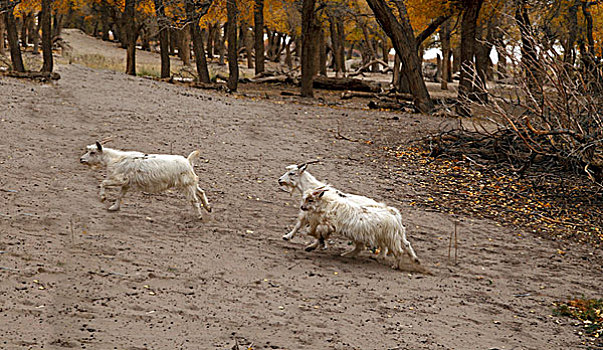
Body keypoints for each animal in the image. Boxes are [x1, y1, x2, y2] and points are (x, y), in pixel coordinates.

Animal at [79, 140, 212, 217]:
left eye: (92, 152)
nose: (81, 159)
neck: (114, 159)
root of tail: (188, 161)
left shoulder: (119, 180)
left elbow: (103, 183)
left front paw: (102, 197)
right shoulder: (125, 184)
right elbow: (120, 196)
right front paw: (114, 208)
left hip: (187, 185)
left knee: (194, 200)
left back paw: (199, 216)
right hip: (191, 183)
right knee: (201, 192)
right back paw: (208, 208)